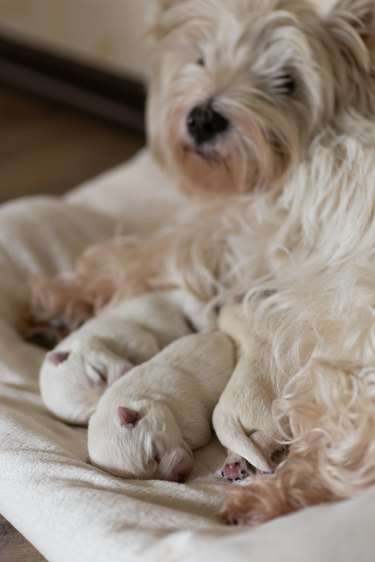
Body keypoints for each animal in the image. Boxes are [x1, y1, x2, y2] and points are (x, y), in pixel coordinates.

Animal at [88, 332, 235, 482]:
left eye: (155, 453)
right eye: (147, 477)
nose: (180, 476)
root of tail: (219, 335)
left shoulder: (188, 410)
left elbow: (201, 433)